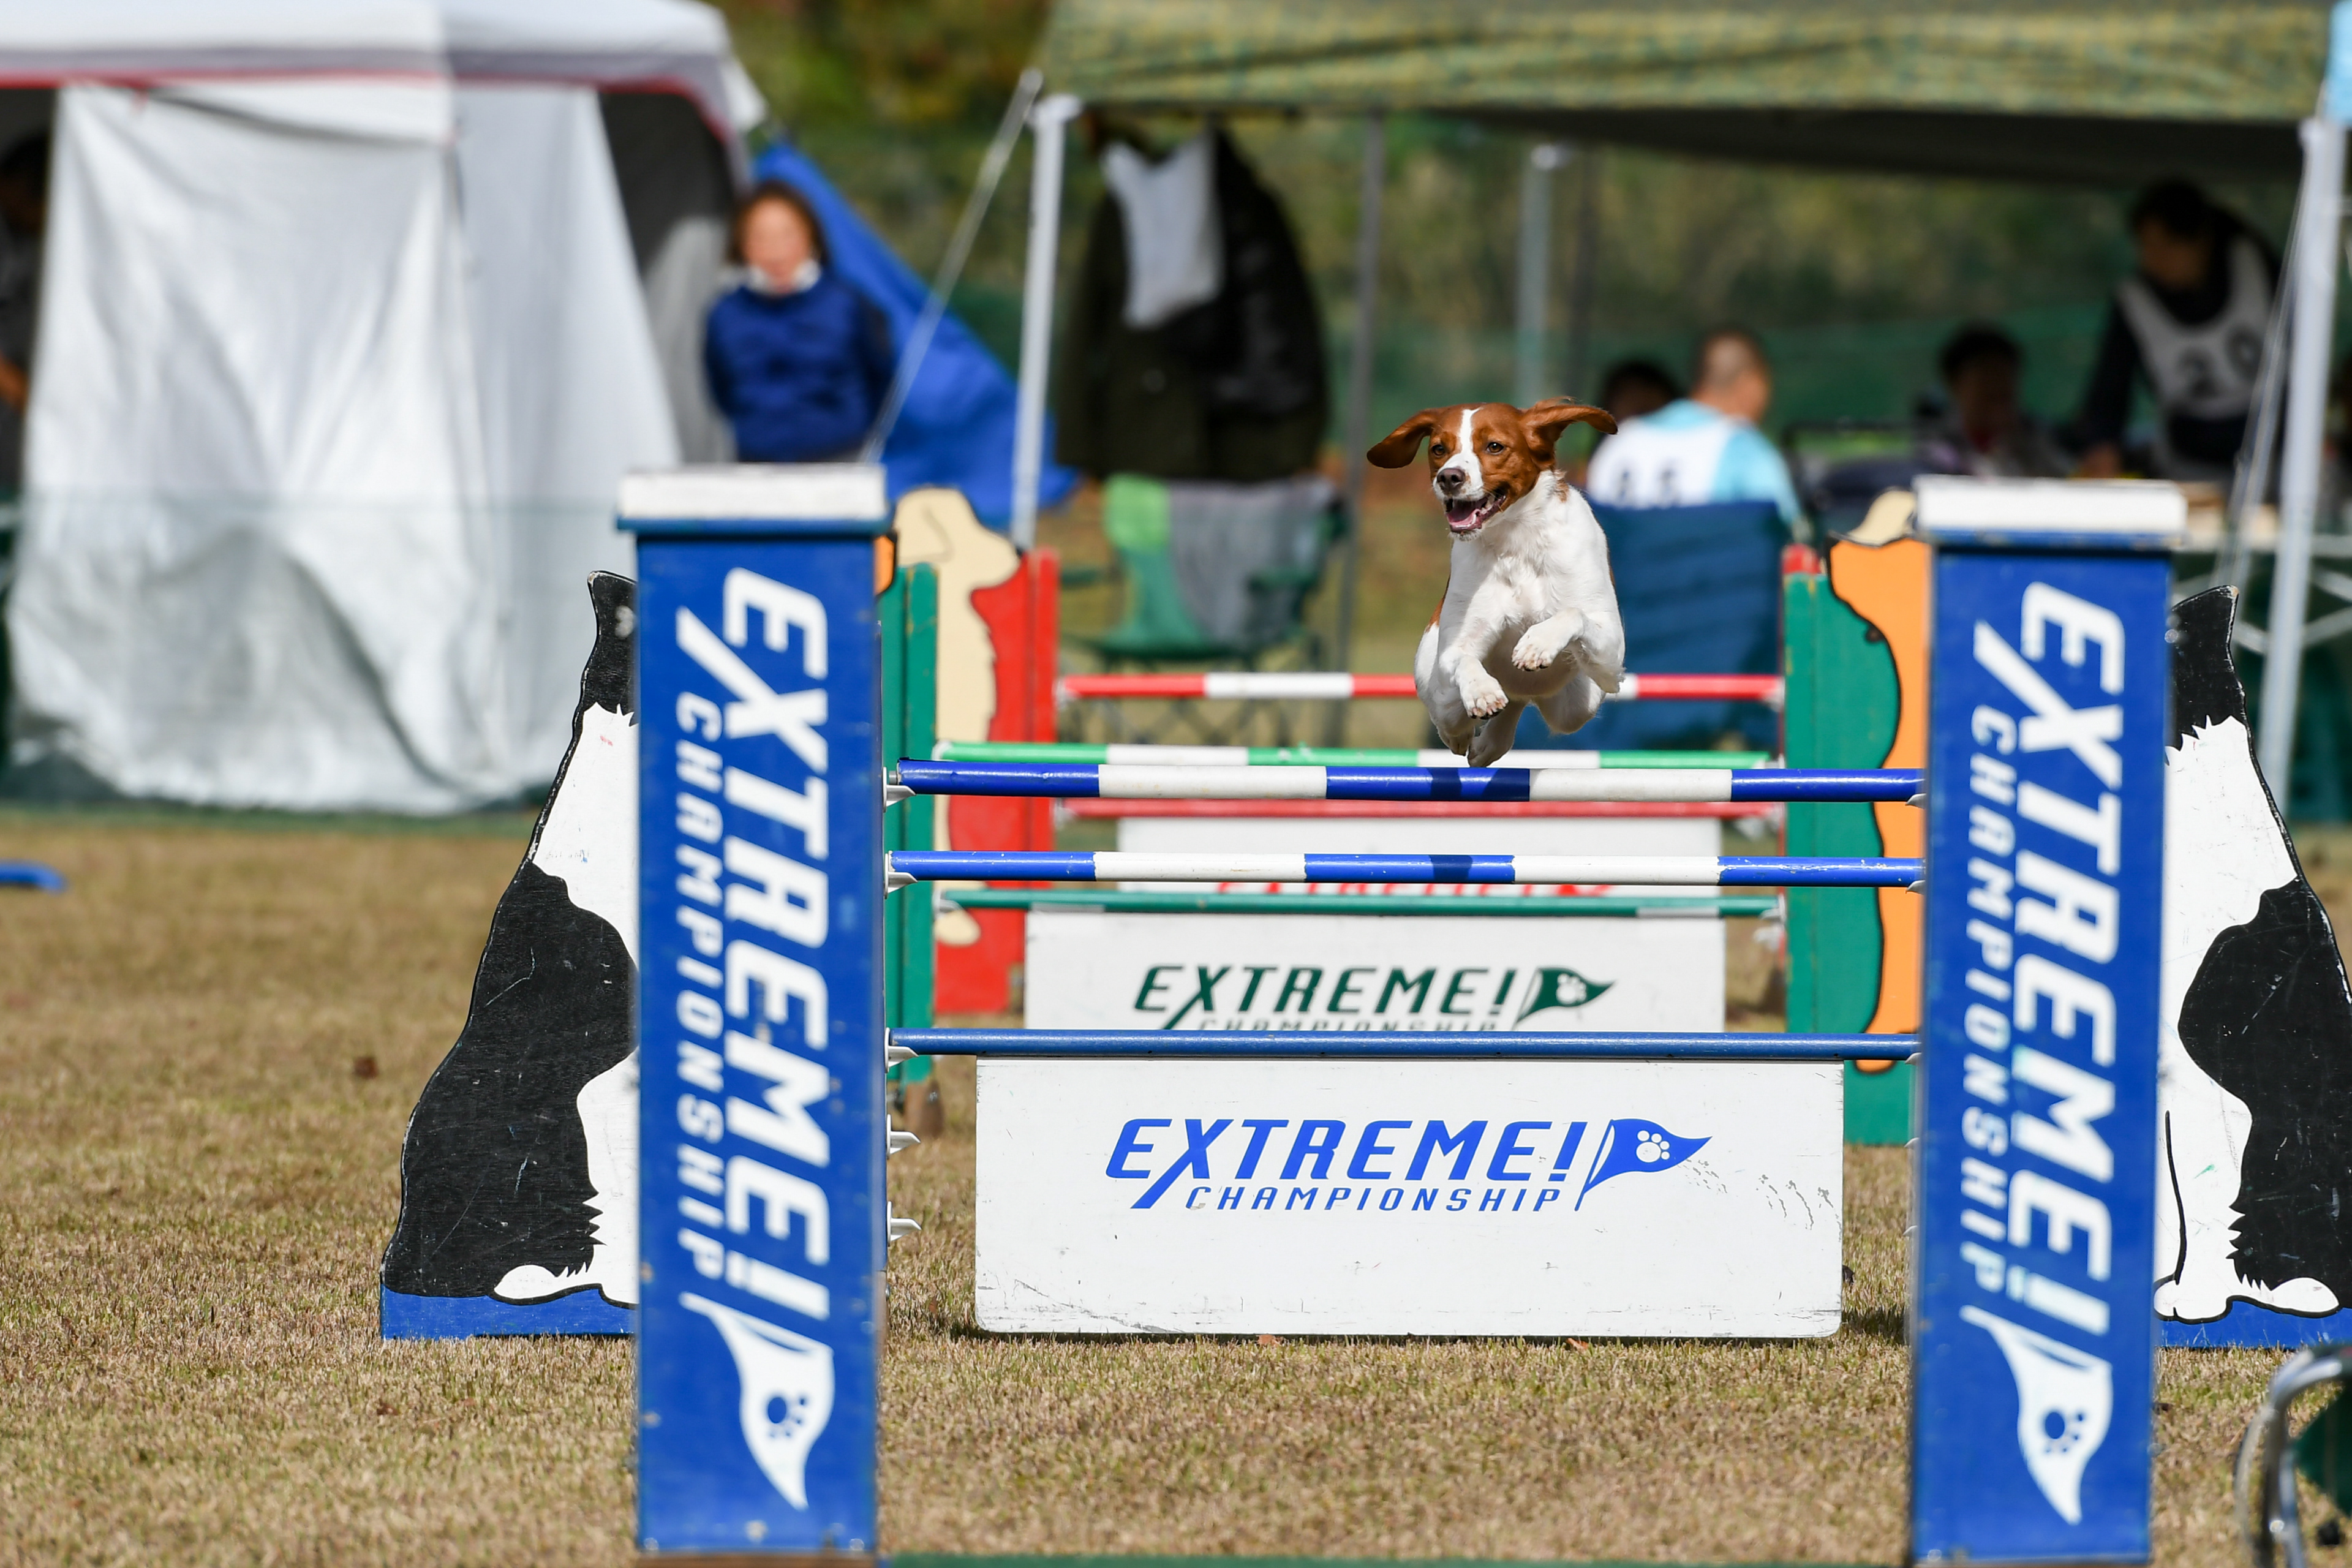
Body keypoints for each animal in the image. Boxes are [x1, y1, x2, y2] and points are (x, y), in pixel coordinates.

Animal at [1368, 399, 1624, 766]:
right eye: (1439, 449)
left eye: (1494, 447)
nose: (1449, 477)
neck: (1517, 539)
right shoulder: (1455, 646)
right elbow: (1463, 658)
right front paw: (1482, 691)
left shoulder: (1612, 654)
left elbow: (1574, 614)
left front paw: (1537, 643)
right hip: (1439, 689)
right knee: (1454, 715)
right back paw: (1470, 735)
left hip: (1578, 703)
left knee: (1530, 702)